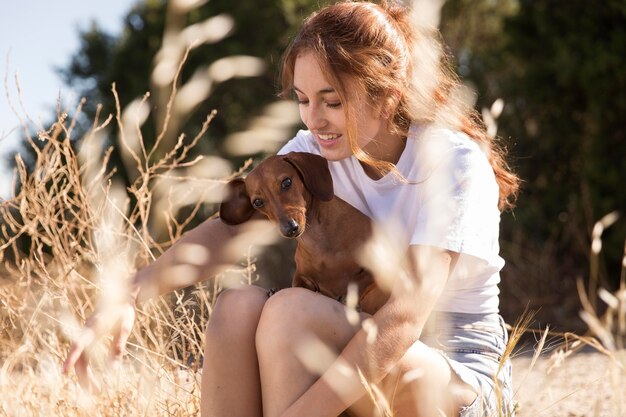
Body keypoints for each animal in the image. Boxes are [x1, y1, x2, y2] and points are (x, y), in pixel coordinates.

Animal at [218, 151, 386, 314]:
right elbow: (297, 285)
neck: (320, 241)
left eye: (286, 182)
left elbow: (363, 278)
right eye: (257, 202)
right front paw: (276, 290)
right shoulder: (302, 277)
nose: (290, 229)